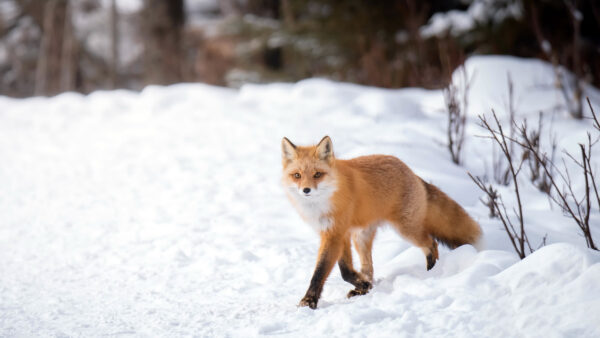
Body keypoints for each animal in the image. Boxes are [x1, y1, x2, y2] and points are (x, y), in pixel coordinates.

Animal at [282, 135, 482, 308]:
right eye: (297, 175)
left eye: (317, 174)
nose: (306, 190)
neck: (324, 202)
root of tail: (410, 171)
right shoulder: (338, 233)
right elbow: (345, 269)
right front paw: (362, 284)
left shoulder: (335, 233)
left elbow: (322, 271)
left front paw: (309, 301)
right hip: (361, 237)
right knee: (369, 267)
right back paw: (363, 289)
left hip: (406, 229)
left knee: (432, 244)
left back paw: (432, 272)